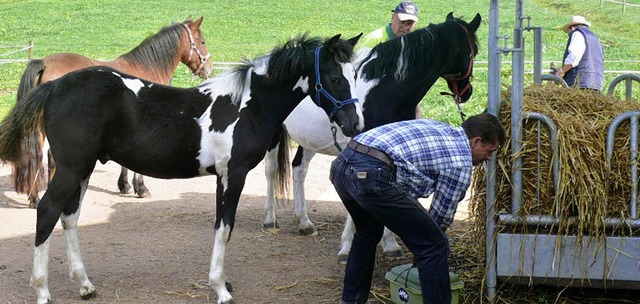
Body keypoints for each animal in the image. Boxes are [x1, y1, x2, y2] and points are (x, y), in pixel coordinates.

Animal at [14, 15, 212, 208]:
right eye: (202, 41)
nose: (209, 68)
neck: (146, 68)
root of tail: (45, 64)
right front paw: (140, 188)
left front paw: (125, 185)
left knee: (35, 156)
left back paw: (34, 198)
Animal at [262, 13, 480, 262]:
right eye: (473, 52)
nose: (467, 92)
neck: (384, 92)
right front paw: (347, 247)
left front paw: (390, 244)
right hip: (274, 137)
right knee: (270, 170)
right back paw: (270, 219)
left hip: (309, 140)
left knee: (299, 169)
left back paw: (304, 223)